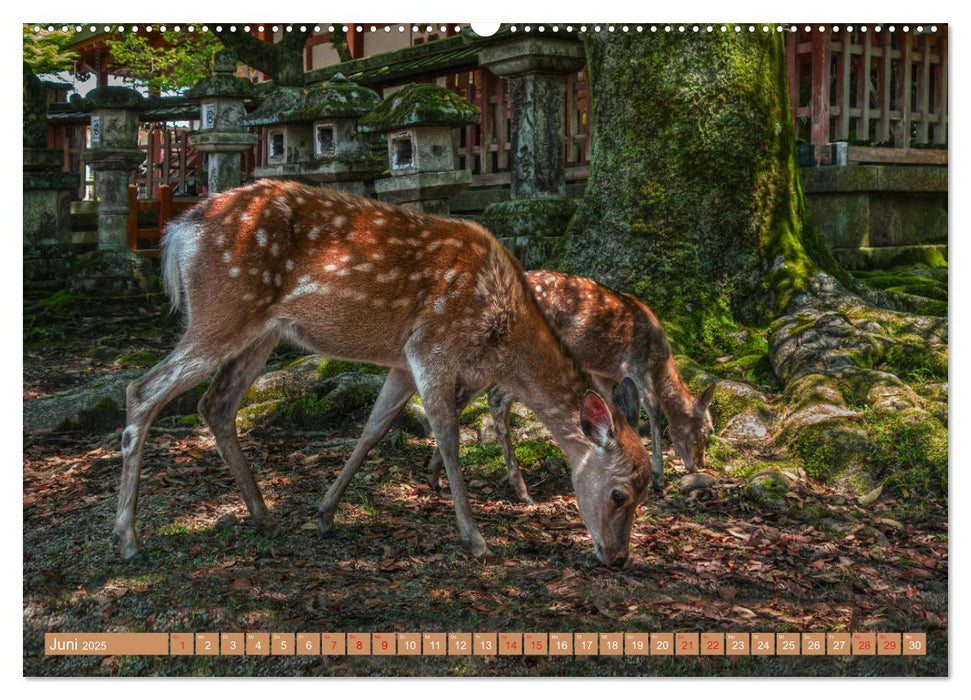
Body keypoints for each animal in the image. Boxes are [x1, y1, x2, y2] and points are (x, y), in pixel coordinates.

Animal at [117, 182, 656, 568]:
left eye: (644, 493)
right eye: (619, 494)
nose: (618, 559)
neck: (501, 334)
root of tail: (179, 230)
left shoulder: (401, 360)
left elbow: (374, 428)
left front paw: (324, 512)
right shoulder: (432, 345)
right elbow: (447, 436)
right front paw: (476, 539)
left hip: (261, 331)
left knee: (217, 403)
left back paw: (265, 516)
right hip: (221, 310)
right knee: (142, 390)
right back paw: (127, 537)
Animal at [430, 270, 716, 500]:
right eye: (709, 430)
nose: (698, 464)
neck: (660, 359)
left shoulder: (603, 372)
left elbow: (609, 409)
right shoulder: (636, 363)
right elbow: (654, 410)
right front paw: (658, 476)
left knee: (458, 395)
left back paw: (435, 475)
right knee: (495, 399)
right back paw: (522, 490)